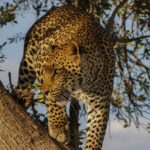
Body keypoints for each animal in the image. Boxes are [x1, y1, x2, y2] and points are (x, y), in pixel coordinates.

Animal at [13, 4, 115, 150]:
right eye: (47, 70)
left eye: (57, 72)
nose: (44, 91)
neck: (83, 84)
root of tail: (59, 7)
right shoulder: (40, 61)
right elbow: (52, 102)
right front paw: (58, 128)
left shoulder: (101, 103)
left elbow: (96, 132)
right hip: (29, 57)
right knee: (23, 79)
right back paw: (21, 96)